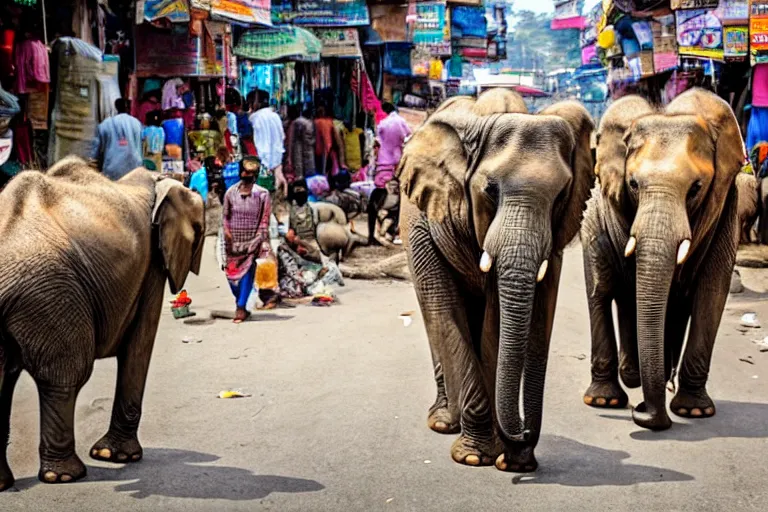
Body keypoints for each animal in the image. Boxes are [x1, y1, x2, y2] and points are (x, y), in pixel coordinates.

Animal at [0, 156, 206, 488]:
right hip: (50, 292)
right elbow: (139, 345)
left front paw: (110, 455)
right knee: (66, 374)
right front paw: (116, 457)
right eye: (200, 230)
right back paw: (64, 476)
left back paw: (7, 483)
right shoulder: (152, 263)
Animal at [400, 90, 596, 474]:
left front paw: (508, 460)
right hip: (413, 221)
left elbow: (501, 324)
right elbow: (454, 317)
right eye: (490, 190)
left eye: (561, 195)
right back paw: (445, 422)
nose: (523, 437)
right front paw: (477, 457)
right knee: (435, 310)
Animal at [584, 89, 744, 432]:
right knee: (602, 292)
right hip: (592, 219)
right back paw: (607, 398)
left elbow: (710, 295)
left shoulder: (726, 207)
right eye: (632, 184)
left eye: (696, 188)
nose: (641, 410)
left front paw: (693, 411)